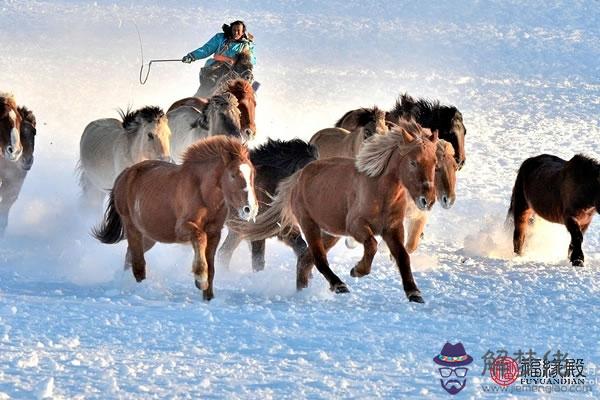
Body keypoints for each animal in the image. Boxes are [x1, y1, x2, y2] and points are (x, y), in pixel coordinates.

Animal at [93, 135, 258, 300]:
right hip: (132, 228)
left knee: (129, 256)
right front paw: (200, 279)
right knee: (138, 263)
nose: (250, 208)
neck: (202, 192)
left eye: (253, 174)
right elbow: (199, 237)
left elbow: (211, 267)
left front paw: (208, 297)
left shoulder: (214, 233)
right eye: (232, 175)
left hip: (148, 237)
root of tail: (125, 174)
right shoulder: (183, 229)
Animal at [229, 126, 436, 302]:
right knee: (318, 258)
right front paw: (357, 270)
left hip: (329, 232)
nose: (427, 200)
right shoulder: (356, 226)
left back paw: (303, 290)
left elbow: (403, 256)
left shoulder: (392, 229)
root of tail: (298, 178)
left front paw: (414, 293)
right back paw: (338, 285)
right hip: (309, 225)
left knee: (305, 259)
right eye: (413, 162)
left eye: (435, 162)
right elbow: (372, 244)